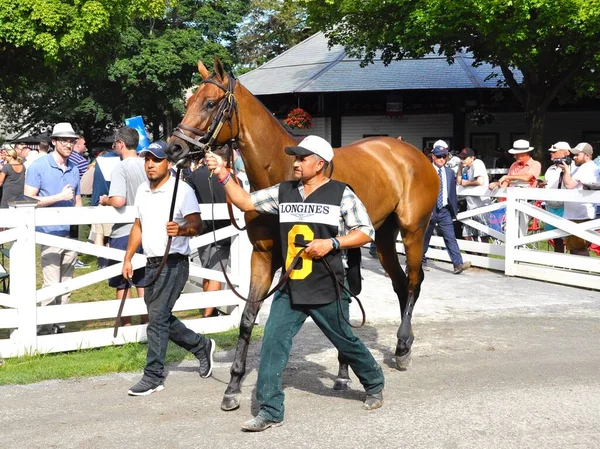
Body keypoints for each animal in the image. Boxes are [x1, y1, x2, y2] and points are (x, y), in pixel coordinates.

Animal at [166, 56, 438, 410]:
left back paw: (403, 346)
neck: (282, 169)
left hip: (413, 230)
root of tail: (412, 153)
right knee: (399, 284)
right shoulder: (263, 255)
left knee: (415, 281)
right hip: (381, 237)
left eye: (210, 103)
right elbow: (248, 317)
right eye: (188, 102)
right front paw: (234, 386)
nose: (174, 148)